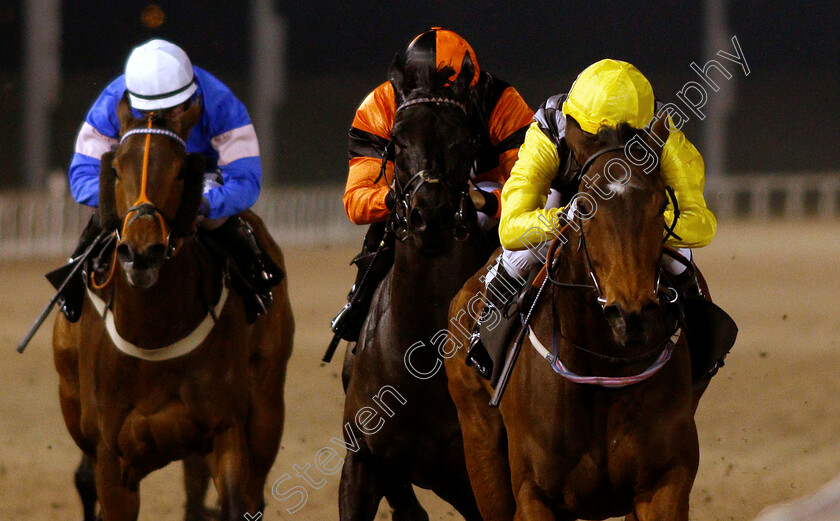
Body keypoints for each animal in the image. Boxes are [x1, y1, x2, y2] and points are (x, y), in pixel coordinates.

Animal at [51, 94, 296, 520]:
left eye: (182, 171)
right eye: (115, 168)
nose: (141, 253)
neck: (153, 334)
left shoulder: (225, 430)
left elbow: (236, 501)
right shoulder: (112, 457)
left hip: (266, 402)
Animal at [446, 116, 708, 516]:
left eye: (661, 202)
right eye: (583, 207)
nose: (630, 314)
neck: (603, 368)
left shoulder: (666, 480)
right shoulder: (533, 493)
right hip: (480, 440)